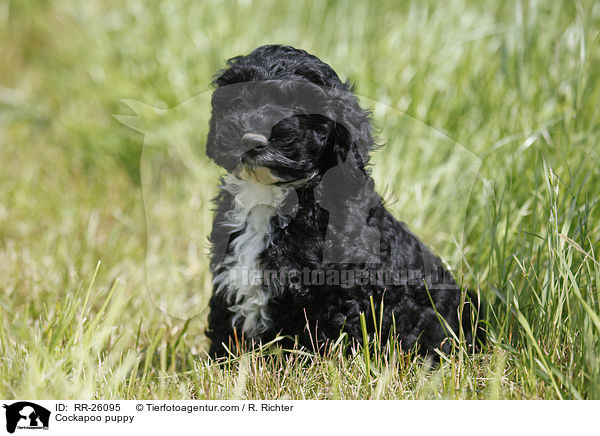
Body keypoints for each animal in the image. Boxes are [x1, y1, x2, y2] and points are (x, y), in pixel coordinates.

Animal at [204, 44, 480, 358]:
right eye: (239, 98)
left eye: (299, 108)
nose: (252, 139)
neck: (269, 193)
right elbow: (225, 329)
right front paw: (219, 363)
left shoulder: (334, 294)